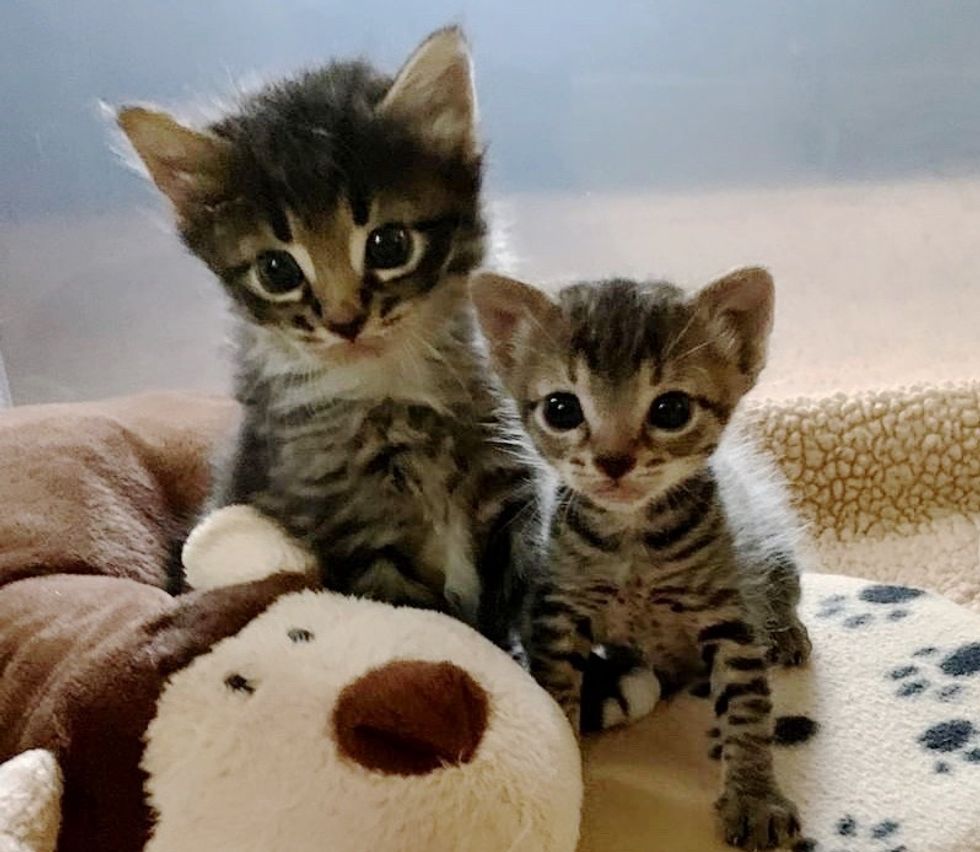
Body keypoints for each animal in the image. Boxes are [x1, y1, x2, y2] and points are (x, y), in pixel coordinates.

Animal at [120, 28, 544, 644]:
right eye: (277, 270)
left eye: (389, 245)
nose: (345, 322)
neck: (393, 388)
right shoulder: (352, 527)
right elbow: (423, 619)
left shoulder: (513, 486)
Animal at [470, 270, 808, 848]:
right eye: (561, 408)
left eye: (671, 410)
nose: (613, 460)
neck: (632, 545)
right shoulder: (559, 609)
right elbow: (557, 686)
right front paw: (567, 761)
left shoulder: (730, 620)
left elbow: (747, 708)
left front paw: (754, 795)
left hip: (773, 545)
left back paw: (786, 632)